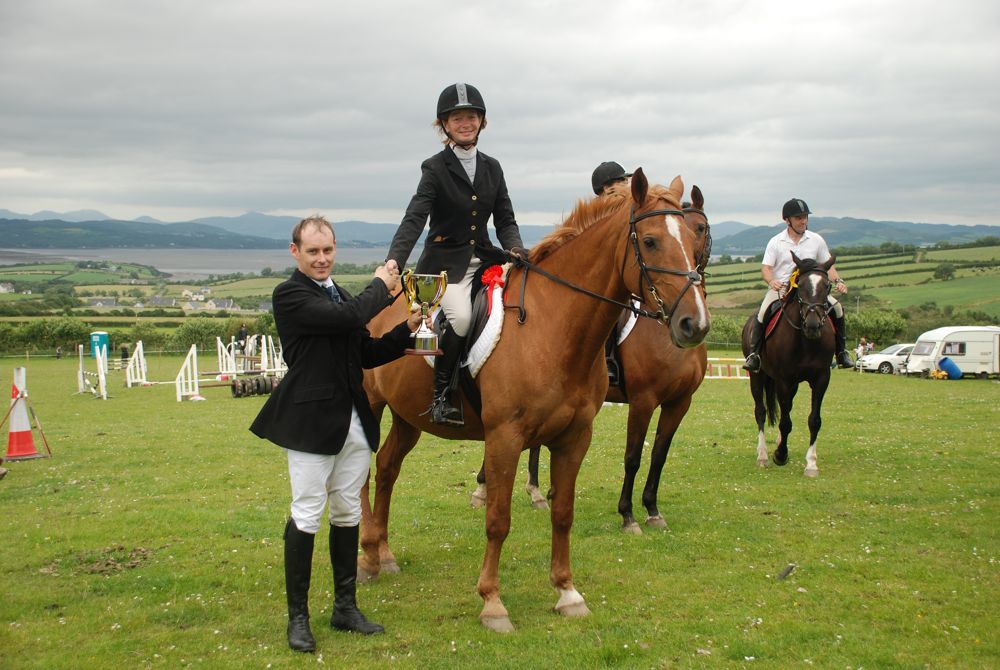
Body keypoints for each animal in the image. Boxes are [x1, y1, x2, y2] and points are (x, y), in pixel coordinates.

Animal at [470, 186, 713, 535]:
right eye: (650, 242)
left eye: (700, 229)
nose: (694, 324)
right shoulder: (644, 399)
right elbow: (633, 457)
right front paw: (628, 514)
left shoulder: (680, 402)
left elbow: (659, 455)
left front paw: (652, 509)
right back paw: (487, 488)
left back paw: (536, 491)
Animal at [741, 253, 836, 477]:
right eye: (800, 285)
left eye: (827, 285)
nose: (813, 326)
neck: (806, 341)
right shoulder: (784, 380)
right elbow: (785, 422)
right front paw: (780, 455)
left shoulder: (821, 379)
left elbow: (814, 420)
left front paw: (811, 464)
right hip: (758, 376)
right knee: (760, 411)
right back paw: (763, 455)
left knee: (787, 408)